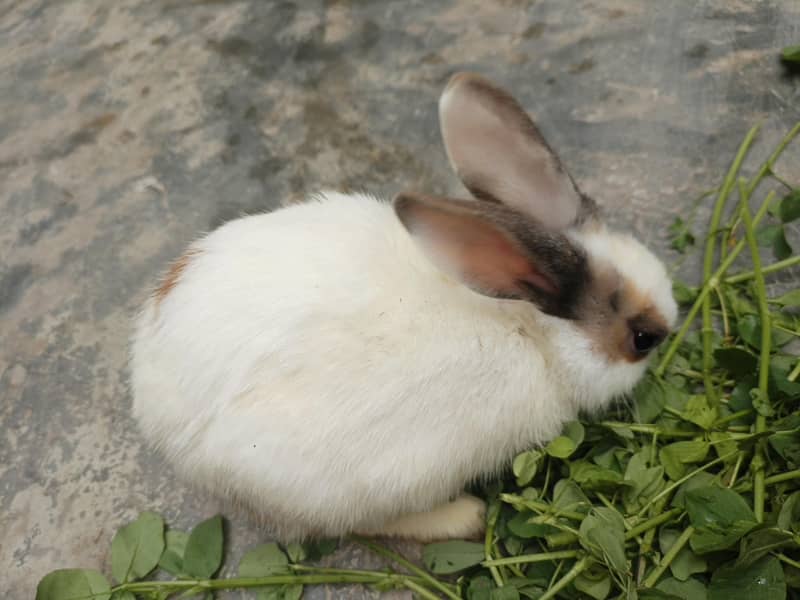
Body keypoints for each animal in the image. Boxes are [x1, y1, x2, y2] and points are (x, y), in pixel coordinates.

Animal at [130, 72, 678, 543]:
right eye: (642, 338)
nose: (672, 329)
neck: (531, 326)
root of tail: (162, 422)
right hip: (367, 488)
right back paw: (463, 516)